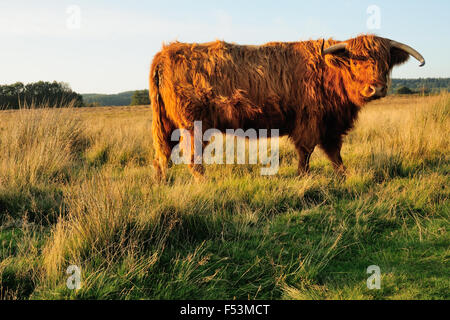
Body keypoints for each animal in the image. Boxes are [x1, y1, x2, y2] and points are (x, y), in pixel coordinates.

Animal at [149, 35, 424, 180]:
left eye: (385, 62)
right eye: (356, 63)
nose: (376, 88)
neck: (330, 71)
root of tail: (164, 54)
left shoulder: (330, 124)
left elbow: (334, 152)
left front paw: (343, 175)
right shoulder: (311, 120)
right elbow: (307, 151)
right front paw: (303, 176)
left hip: (165, 122)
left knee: (162, 153)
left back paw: (163, 183)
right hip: (193, 125)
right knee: (192, 156)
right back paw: (203, 182)